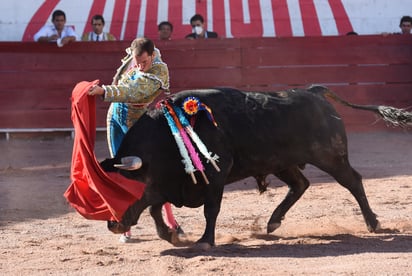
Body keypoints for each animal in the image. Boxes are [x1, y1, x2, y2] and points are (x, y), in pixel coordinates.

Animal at [99, 85, 408, 247]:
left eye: (120, 188)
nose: (112, 225)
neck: (167, 134)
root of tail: (314, 92)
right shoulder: (169, 182)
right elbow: (153, 207)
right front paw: (170, 235)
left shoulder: (215, 174)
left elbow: (210, 209)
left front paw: (205, 240)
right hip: (282, 162)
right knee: (300, 184)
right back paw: (273, 222)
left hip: (330, 157)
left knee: (353, 181)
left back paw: (372, 223)